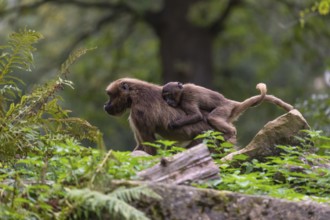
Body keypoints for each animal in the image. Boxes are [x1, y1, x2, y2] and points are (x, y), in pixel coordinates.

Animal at [161, 81, 292, 141]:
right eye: (165, 97)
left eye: (169, 96)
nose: (168, 101)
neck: (182, 92)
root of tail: (230, 102)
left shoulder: (187, 98)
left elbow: (196, 115)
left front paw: (174, 124)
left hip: (224, 108)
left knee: (212, 118)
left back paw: (230, 132)